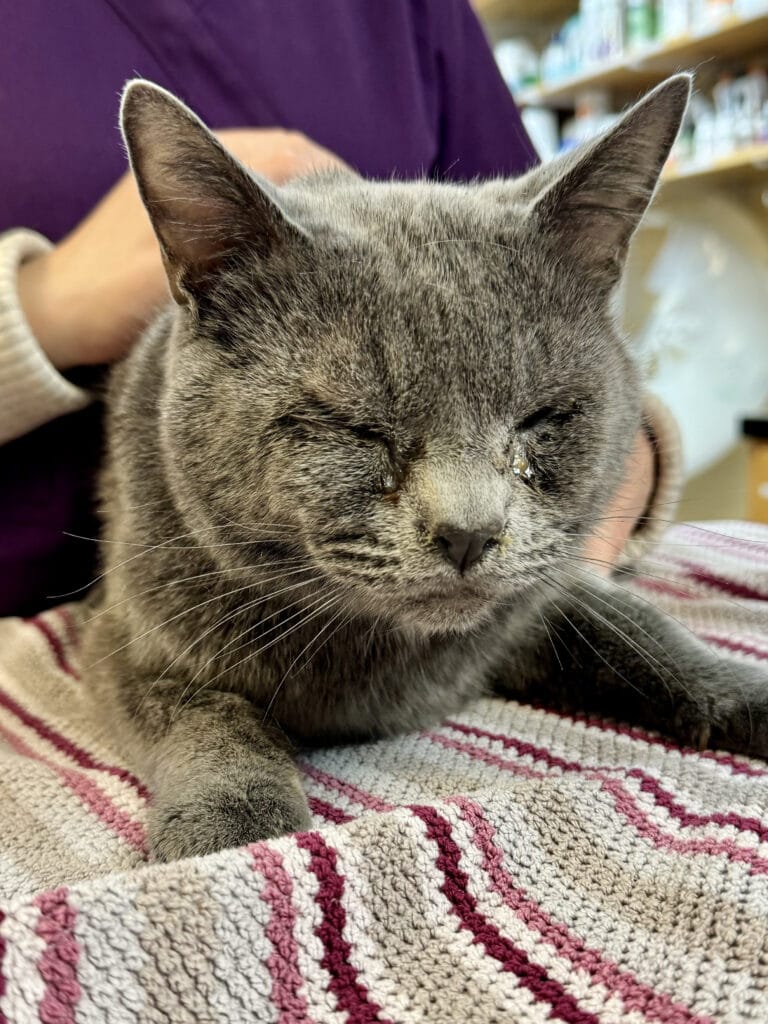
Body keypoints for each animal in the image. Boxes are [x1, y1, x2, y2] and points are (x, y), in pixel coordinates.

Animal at [83, 75, 768, 860]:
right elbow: (208, 710)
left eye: (542, 419)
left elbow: (643, 631)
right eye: (355, 427)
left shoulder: (541, 594)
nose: (469, 532)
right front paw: (234, 828)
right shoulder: (118, 638)